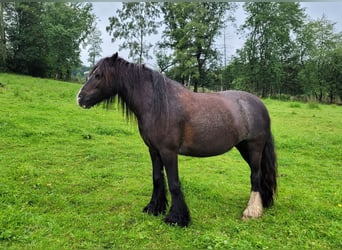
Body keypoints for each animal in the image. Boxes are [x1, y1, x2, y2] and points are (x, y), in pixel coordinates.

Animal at [76, 52, 276, 227]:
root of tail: (259, 104)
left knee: (255, 175)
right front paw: (154, 208)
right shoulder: (154, 150)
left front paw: (177, 218)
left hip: (254, 147)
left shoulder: (168, 152)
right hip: (243, 148)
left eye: (99, 75)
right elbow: (157, 178)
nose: (79, 98)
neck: (158, 105)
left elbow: (173, 183)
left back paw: (252, 211)